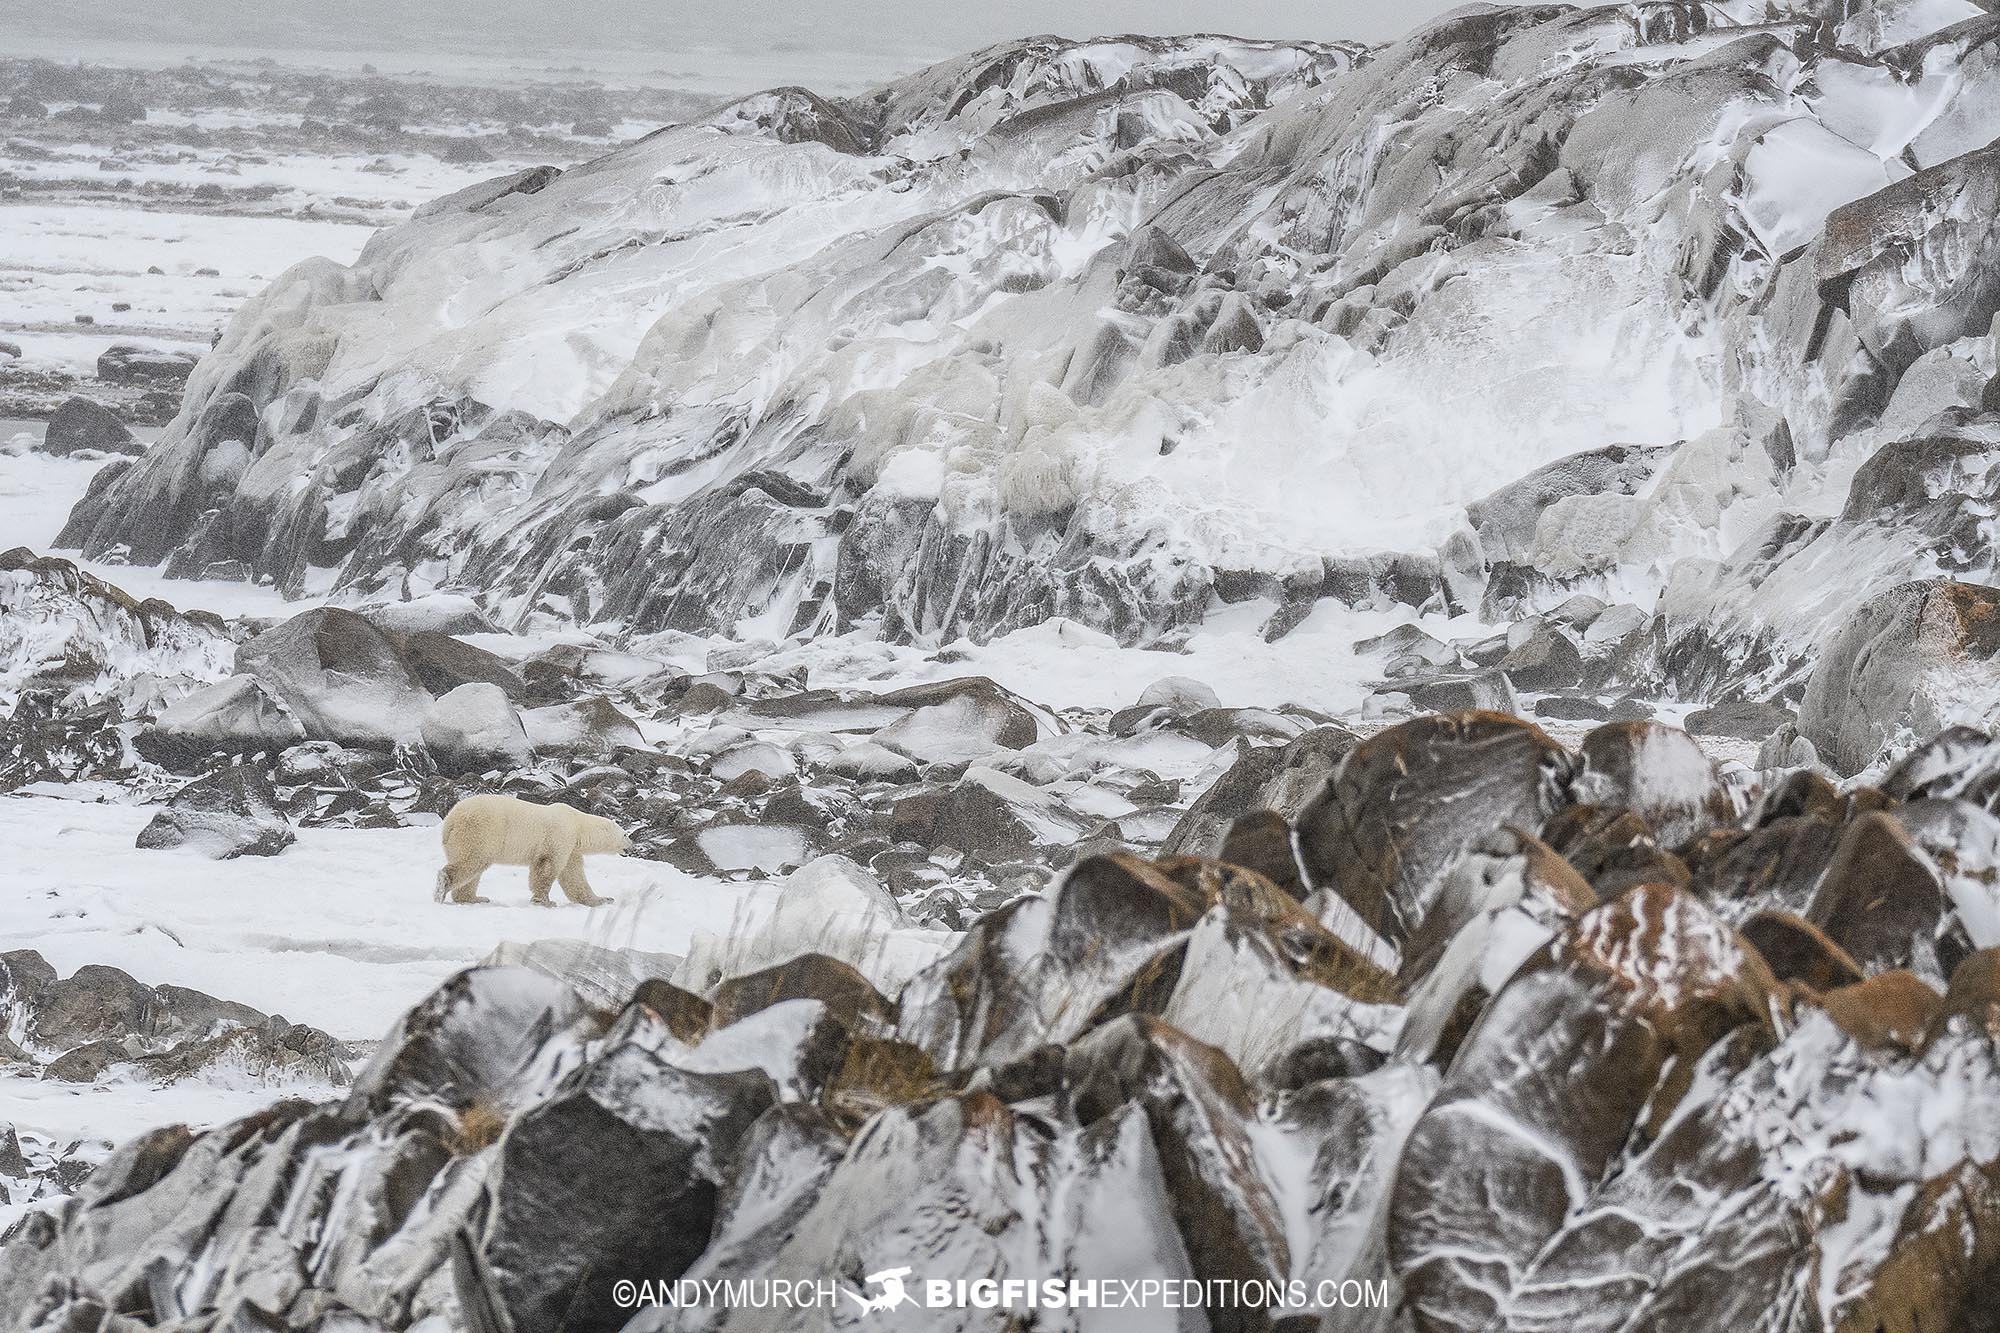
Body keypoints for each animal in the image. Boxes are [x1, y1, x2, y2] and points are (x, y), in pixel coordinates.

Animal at [434, 788, 628, 904]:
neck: (577, 823)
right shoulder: (559, 836)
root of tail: (450, 820)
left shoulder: (571, 848)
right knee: (471, 861)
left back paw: (474, 898)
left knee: (472, 871)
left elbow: (573, 875)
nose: (631, 844)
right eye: (625, 834)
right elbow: (547, 868)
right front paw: (545, 901)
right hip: (479, 832)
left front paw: (603, 899)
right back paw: (443, 887)